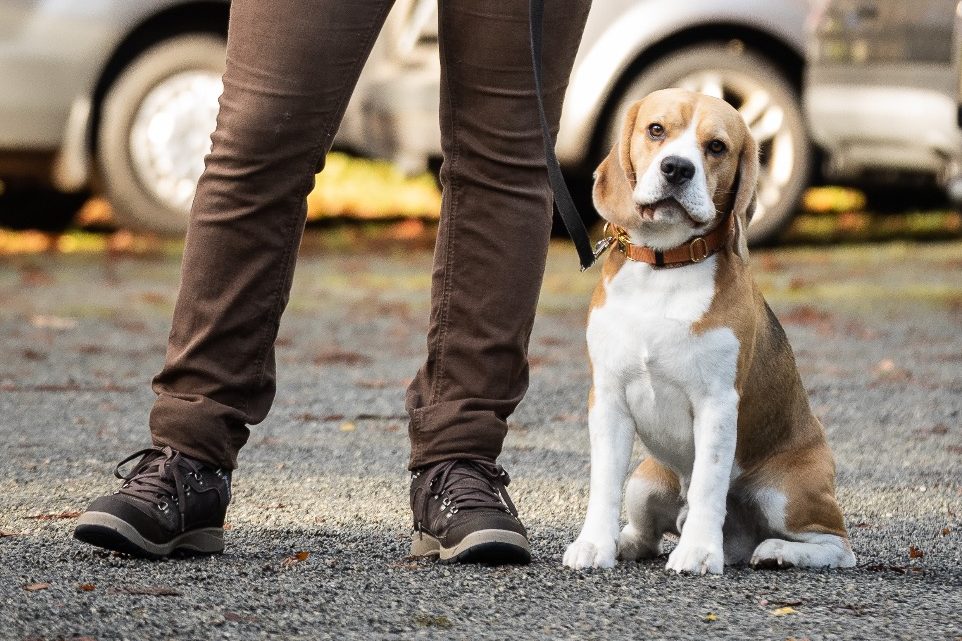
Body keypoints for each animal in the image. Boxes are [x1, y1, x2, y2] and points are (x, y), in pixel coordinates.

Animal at [564, 87, 856, 572]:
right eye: (656, 130)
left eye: (716, 146)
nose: (677, 168)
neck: (664, 268)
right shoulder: (607, 398)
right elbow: (603, 482)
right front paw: (594, 545)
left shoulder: (717, 403)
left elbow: (707, 484)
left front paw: (699, 552)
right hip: (645, 482)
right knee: (646, 529)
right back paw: (627, 542)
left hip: (786, 494)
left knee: (837, 545)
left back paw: (776, 551)